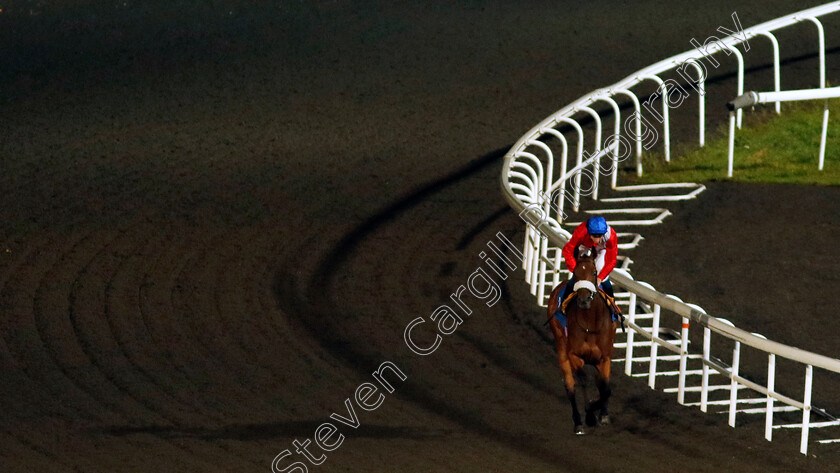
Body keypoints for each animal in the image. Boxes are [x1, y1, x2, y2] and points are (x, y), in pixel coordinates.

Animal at [544, 245, 616, 434]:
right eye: (575, 273)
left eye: (594, 272)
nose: (583, 300)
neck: (590, 324)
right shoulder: (574, 356)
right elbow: (584, 381)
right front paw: (589, 414)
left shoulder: (604, 357)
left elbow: (605, 388)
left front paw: (602, 414)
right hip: (562, 351)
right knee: (571, 386)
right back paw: (578, 421)